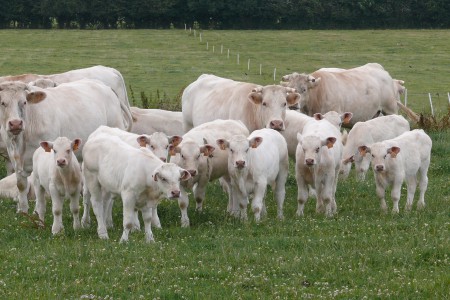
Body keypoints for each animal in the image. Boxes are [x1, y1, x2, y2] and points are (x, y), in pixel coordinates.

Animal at [0, 79, 130, 214]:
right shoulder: (14, 159)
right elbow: (21, 186)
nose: (15, 123)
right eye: (2, 103)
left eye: (24, 102)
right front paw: (23, 212)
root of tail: (105, 87)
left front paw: (36, 211)